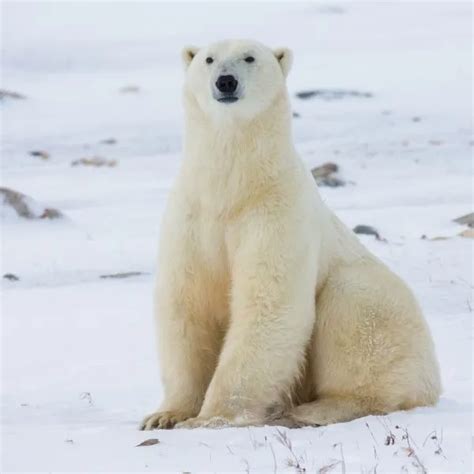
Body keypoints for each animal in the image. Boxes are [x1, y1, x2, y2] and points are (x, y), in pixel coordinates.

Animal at [141, 39, 440, 428]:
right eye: (208, 58)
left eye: (249, 57)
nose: (225, 81)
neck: (233, 188)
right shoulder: (191, 219)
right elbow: (187, 303)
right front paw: (166, 415)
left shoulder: (275, 213)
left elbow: (268, 301)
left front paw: (212, 417)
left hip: (379, 303)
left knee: (355, 308)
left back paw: (315, 409)